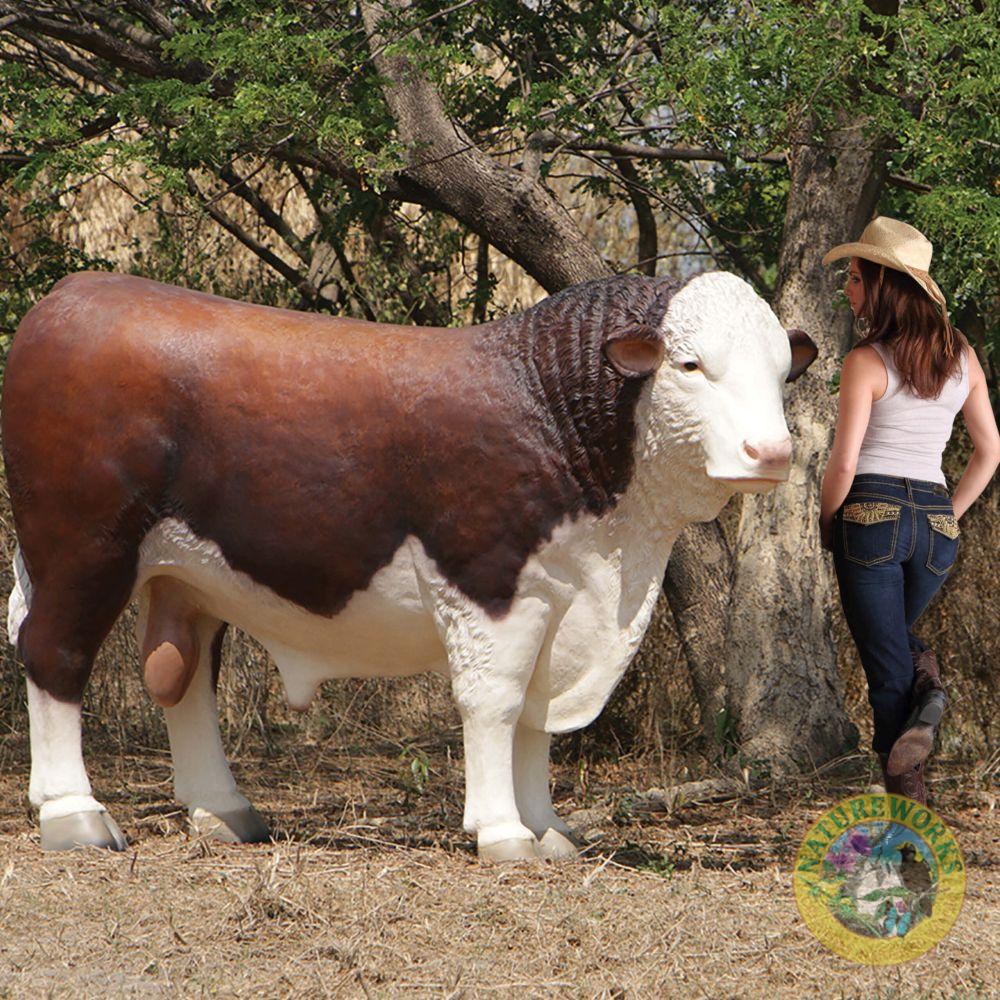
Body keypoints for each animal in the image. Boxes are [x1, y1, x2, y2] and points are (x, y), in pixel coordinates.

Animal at [3, 270, 816, 860]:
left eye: (783, 372)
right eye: (690, 364)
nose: (772, 453)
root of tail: (73, 292)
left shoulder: (560, 596)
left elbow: (534, 716)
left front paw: (550, 830)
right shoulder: (486, 581)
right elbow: (493, 703)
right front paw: (503, 833)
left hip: (185, 573)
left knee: (183, 674)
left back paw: (223, 809)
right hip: (81, 546)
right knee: (54, 653)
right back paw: (75, 815)